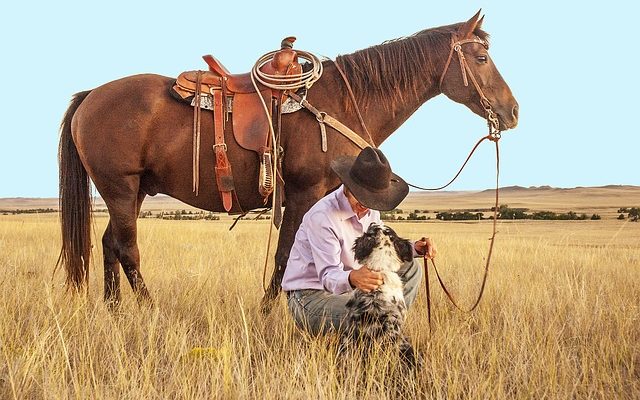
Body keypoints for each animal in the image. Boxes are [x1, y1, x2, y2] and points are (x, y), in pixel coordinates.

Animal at [58, 8, 520, 310]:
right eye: (481, 58)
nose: (513, 111)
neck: (340, 102)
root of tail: (91, 96)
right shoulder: (302, 192)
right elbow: (285, 254)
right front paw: (269, 311)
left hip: (131, 192)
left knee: (110, 245)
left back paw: (115, 310)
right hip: (120, 188)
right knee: (127, 249)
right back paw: (148, 308)